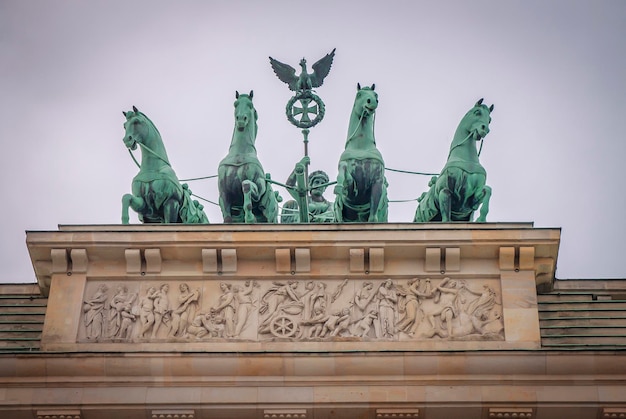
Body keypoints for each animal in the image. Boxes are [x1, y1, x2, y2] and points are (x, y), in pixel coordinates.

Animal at [218, 90, 280, 225]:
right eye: (235, 104)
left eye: (250, 105)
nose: (241, 119)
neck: (239, 154)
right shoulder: (223, 192)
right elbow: (227, 217)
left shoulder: (259, 185)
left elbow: (246, 185)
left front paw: (250, 218)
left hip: (272, 217)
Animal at [332, 84, 386, 223]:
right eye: (359, 94)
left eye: (376, 95)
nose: (372, 102)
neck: (361, 147)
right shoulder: (351, 194)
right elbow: (345, 173)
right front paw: (338, 185)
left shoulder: (377, 181)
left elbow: (373, 218)